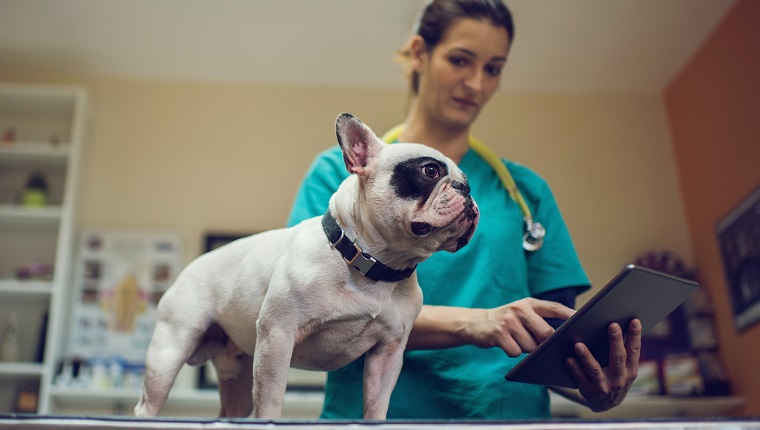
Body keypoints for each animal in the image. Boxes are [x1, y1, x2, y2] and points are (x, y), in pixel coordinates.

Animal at [135, 113, 480, 420]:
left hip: (241, 376)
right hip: (169, 351)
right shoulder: (277, 337)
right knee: (148, 405)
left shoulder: (388, 354)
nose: (466, 189)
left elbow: (376, 407)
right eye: (430, 170)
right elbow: (271, 403)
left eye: (466, 182)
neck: (371, 264)